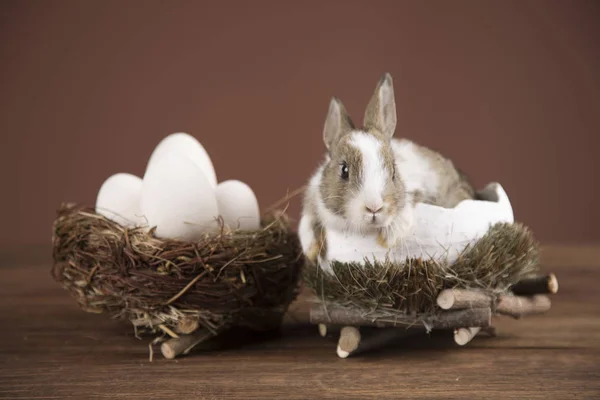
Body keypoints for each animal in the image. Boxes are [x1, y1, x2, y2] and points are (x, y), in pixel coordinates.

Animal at [300, 73, 478, 268]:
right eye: (344, 170)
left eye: (393, 171)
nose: (374, 207)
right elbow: (306, 222)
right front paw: (311, 250)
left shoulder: (415, 189)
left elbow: (406, 206)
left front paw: (388, 238)